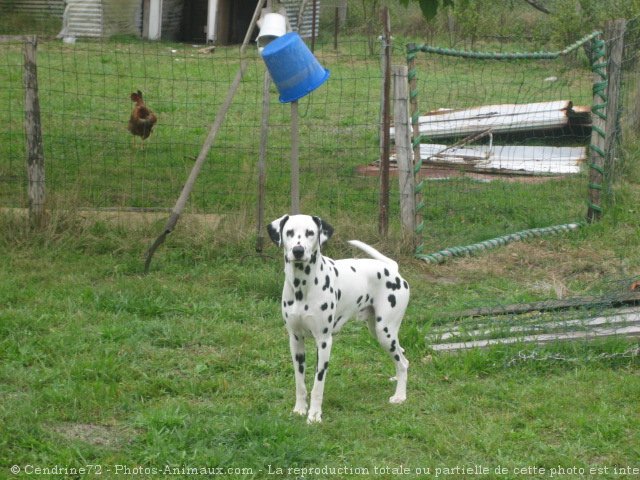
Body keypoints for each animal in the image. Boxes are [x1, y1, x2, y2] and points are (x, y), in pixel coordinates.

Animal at [266, 215, 410, 424]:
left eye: (310, 232)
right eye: (289, 232)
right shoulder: (295, 341)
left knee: (402, 363)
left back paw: (400, 396)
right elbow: (300, 383)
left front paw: (314, 415)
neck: (303, 286)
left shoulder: (324, 342)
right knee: (403, 358)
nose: (298, 251)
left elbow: (317, 385)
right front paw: (299, 409)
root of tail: (392, 269)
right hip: (378, 331)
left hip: (385, 333)